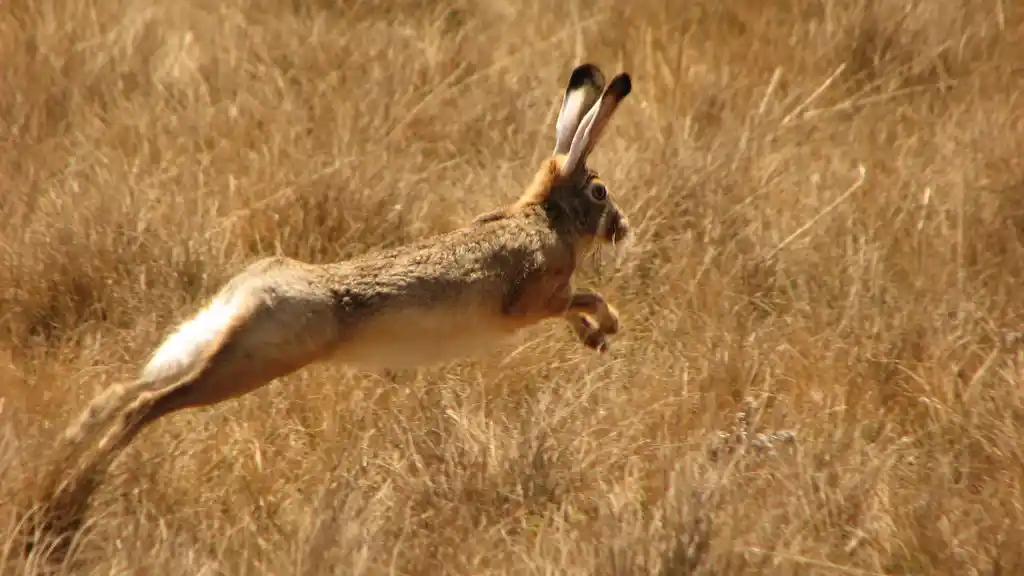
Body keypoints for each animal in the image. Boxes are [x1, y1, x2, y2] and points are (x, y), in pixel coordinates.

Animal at [31, 63, 633, 554]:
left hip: (216, 342)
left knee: (124, 390)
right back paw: (73, 494)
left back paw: (61, 468)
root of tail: (256, 286)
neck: (546, 216)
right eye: (600, 192)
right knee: (148, 404)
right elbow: (584, 297)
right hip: (254, 359)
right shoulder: (533, 299)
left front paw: (595, 338)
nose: (622, 227)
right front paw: (608, 327)